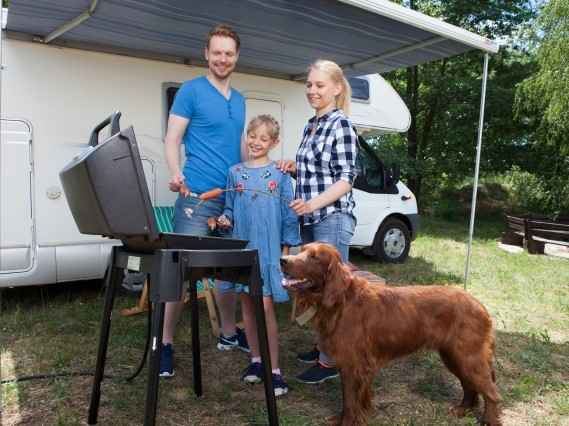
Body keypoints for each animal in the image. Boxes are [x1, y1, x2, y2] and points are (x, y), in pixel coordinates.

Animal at [282, 243, 500, 426]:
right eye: (302, 249)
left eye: (314, 257)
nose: (282, 260)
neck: (341, 300)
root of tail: (480, 305)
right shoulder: (351, 365)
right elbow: (351, 399)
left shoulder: (354, 364)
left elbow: (350, 400)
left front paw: (348, 422)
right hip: (453, 356)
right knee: (469, 385)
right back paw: (462, 409)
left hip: (468, 357)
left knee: (492, 393)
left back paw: (488, 420)